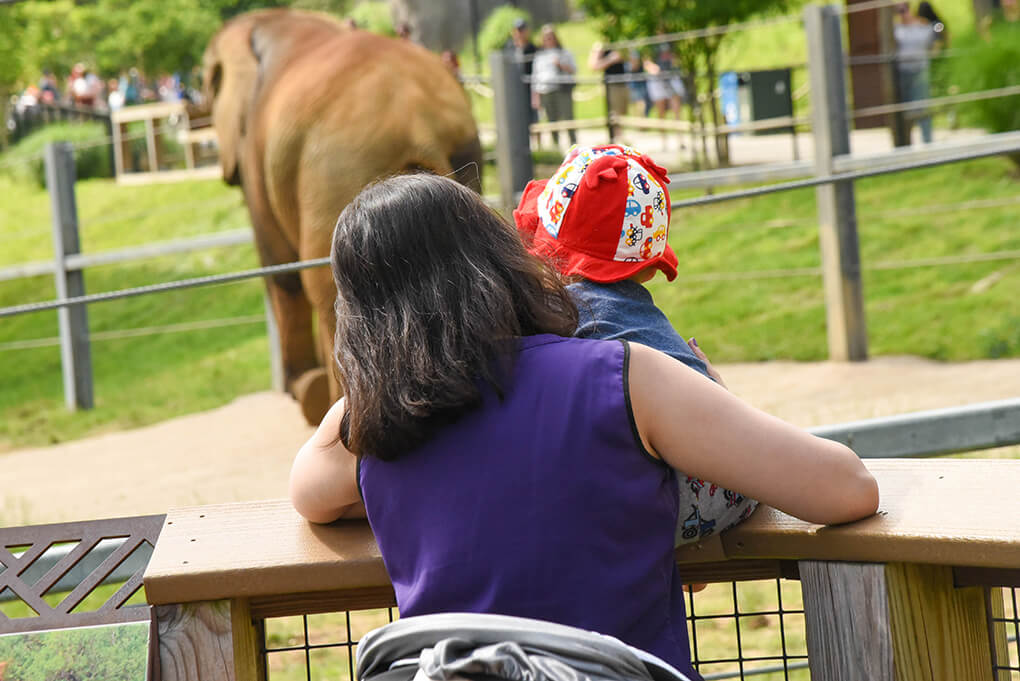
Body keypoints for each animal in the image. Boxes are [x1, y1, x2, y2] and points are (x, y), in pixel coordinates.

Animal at [205, 7, 483, 426]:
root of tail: (417, 117)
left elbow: (280, 269)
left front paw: (302, 392)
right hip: (461, 151)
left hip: (336, 167)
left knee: (326, 290)